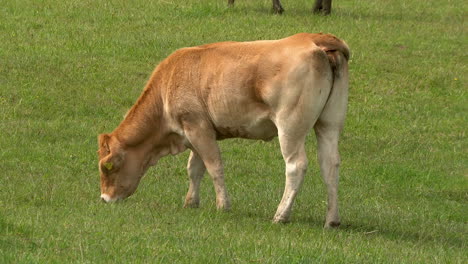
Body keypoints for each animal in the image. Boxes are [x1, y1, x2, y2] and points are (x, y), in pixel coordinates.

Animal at [98, 32, 348, 227]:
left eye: (107, 167)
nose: (104, 199)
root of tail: (315, 38)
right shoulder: (194, 132)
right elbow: (194, 168)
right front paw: (191, 202)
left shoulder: (198, 127)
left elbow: (214, 166)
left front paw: (222, 206)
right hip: (329, 122)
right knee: (330, 164)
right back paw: (332, 220)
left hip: (290, 126)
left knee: (296, 165)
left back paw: (280, 215)